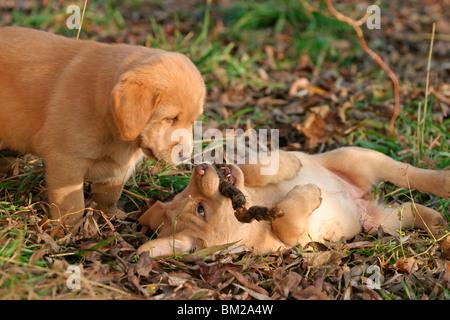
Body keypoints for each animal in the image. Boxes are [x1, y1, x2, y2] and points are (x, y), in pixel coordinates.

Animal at [0, 26, 206, 230]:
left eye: (193, 121)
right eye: (170, 119)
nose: (186, 157)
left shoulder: (118, 168)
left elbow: (109, 195)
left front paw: (110, 216)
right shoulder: (67, 162)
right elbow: (72, 204)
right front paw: (69, 230)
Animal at [139, 146, 448, 256]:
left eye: (185, 193)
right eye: (200, 210)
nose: (201, 168)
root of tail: (359, 197)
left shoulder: (245, 176)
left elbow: (251, 165)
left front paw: (288, 164)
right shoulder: (295, 240)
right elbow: (284, 219)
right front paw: (309, 192)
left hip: (357, 156)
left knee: (407, 173)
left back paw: (442, 181)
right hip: (378, 223)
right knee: (407, 208)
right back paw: (436, 221)